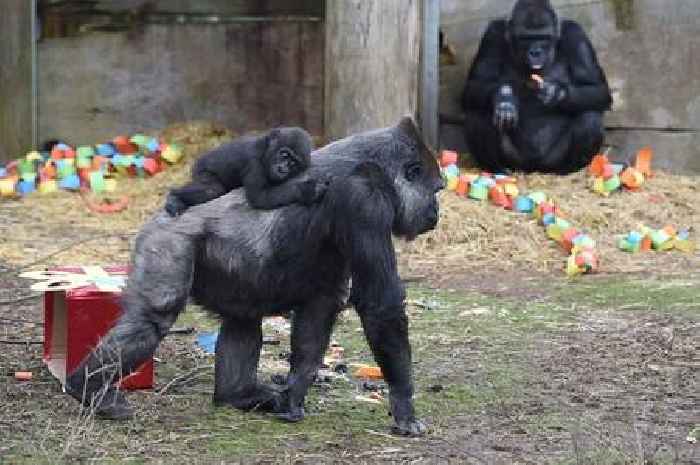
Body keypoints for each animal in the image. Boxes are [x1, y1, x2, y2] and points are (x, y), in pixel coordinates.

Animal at [166, 126, 326, 215]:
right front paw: (307, 190)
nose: (283, 169)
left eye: (293, 163)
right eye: (284, 154)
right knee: (212, 189)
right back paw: (174, 197)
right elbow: (260, 198)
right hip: (201, 168)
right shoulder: (253, 162)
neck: (265, 151)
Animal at [464, 0, 612, 173]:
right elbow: (474, 85)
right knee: (479, 114)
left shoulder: (576, 34)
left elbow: (597, 88)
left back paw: (567, 170)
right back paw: (497, 169)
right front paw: (504, 99)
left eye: (543, 37)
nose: (535, 52)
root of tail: (534, 168)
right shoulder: (492, 34)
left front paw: (556, 93)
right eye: (525, 38)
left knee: (590, 117)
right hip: (517, 162)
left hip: (552, 161)